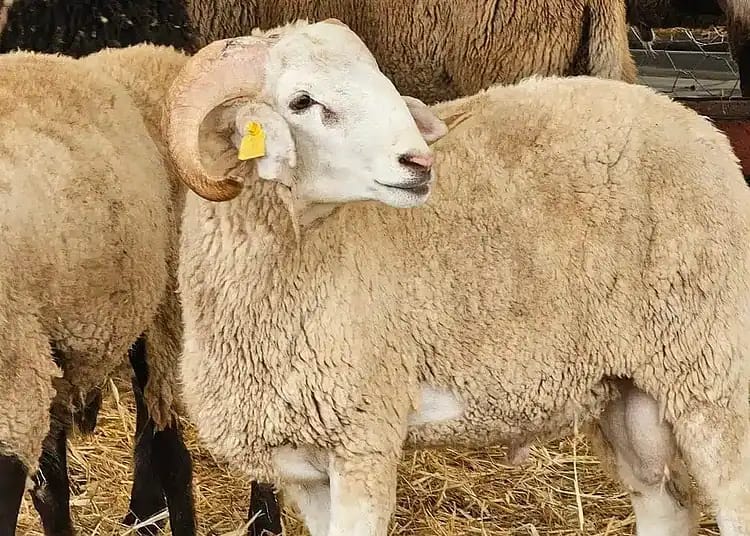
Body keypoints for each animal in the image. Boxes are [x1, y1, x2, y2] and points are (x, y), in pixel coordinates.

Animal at [167, 31, 750, 534]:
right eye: (302, 101)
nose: (418, 161)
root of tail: (706, 131)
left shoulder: (365, 437)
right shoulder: (304, 466)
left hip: (712, 367)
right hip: (629, 390)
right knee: (665, 501)